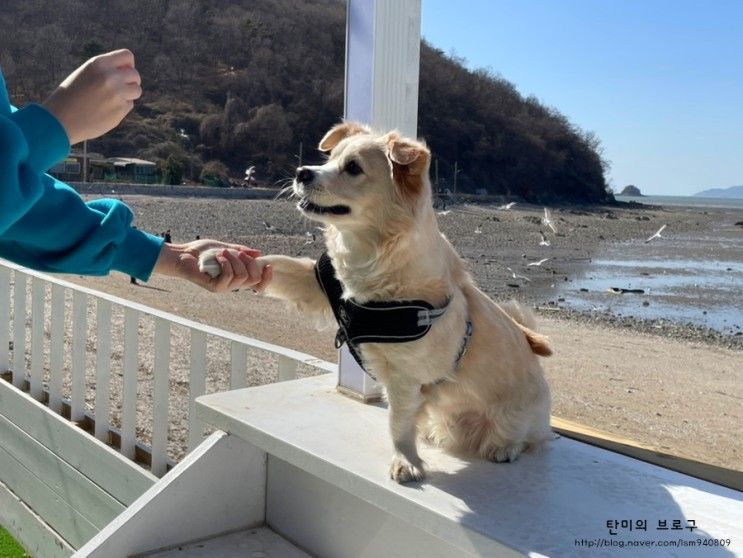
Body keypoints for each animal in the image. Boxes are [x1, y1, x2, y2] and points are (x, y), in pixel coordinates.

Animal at [199, 123, 552, 486]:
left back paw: (504, 447)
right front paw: (221, 258)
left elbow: (397, 423)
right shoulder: (320, 283)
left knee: (527, 437)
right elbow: (277, 263)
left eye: (353, 168)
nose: (301, 172)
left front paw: (406, 460)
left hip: (513, 417)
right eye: (329, 159)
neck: (371, 253)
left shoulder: (404, 379)